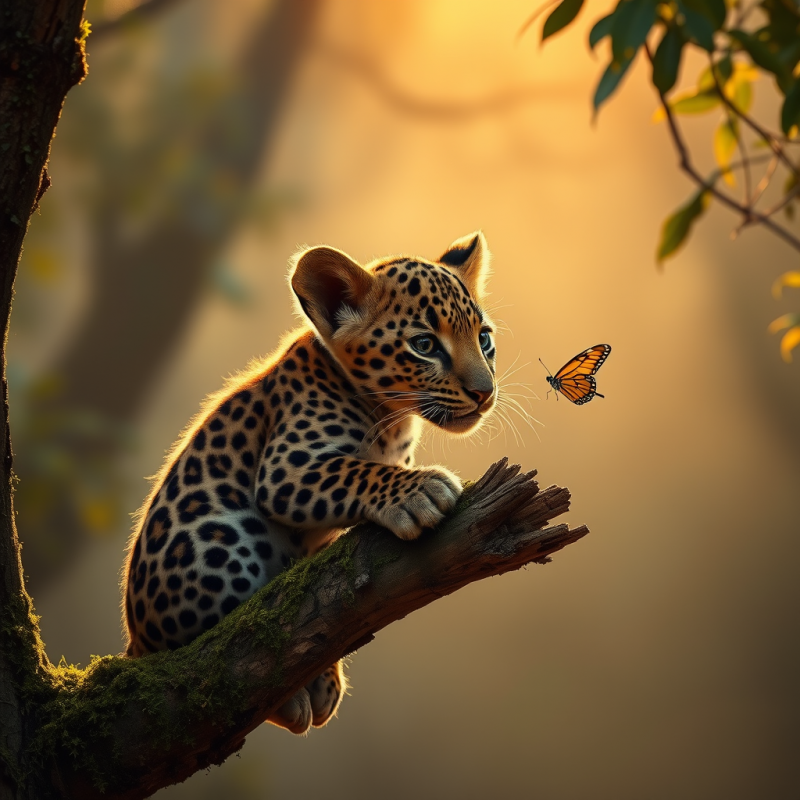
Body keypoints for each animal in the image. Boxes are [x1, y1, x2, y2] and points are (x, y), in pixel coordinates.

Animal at [122, 231, 497, 734]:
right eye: (424, 344)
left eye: (484, 338)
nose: (485, 392)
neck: (394, 420)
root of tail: (135, 646)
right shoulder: (286, 467)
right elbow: (357, 470)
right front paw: (420, 492)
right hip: (222, 539)